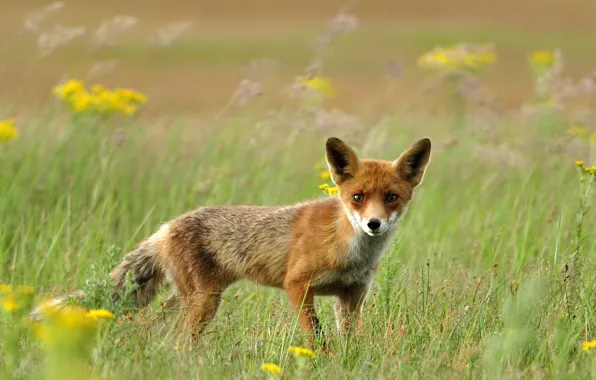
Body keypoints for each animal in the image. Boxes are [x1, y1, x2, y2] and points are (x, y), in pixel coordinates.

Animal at [33, 137, 434, 348]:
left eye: (392, 197)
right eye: (357, 197)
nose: (373, 224)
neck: (348, 249)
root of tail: (167, 226)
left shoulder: (350, 296)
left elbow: (350, 339)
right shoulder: (297, 284)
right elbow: (315, 337)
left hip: (190, 299)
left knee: (154, 330)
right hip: (204, 301)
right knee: (176, 339)